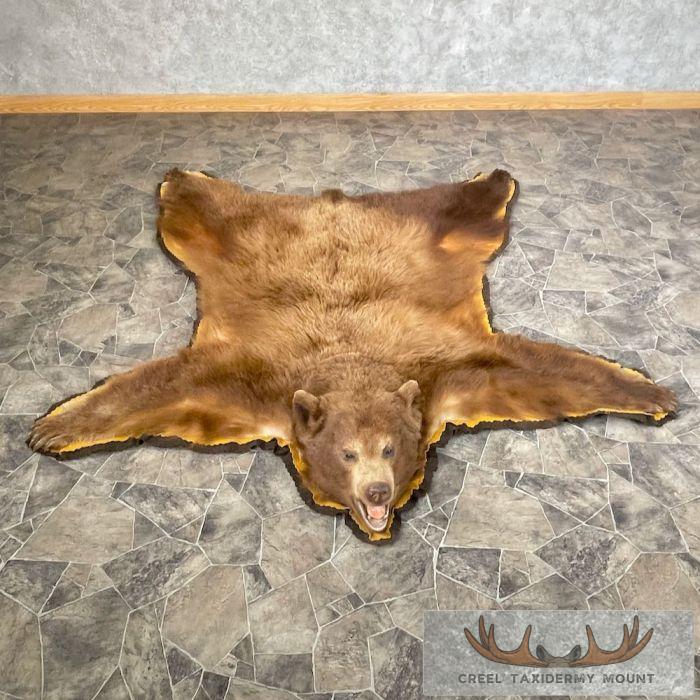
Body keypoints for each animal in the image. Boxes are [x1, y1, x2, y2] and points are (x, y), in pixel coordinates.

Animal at [28, 168, 677, 540]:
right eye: (347, 454)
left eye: (389, 448)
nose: (378, 493)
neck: (349, 366)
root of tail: (333, 200)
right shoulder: (252, 376)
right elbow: (168, 381)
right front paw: (54, 424)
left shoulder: (448, 365)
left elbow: (531, 368)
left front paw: (648, 389)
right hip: (238, 232)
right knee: (209, 208)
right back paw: (180, 178)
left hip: (423, 224)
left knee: (456, 205)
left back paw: (494, 178)